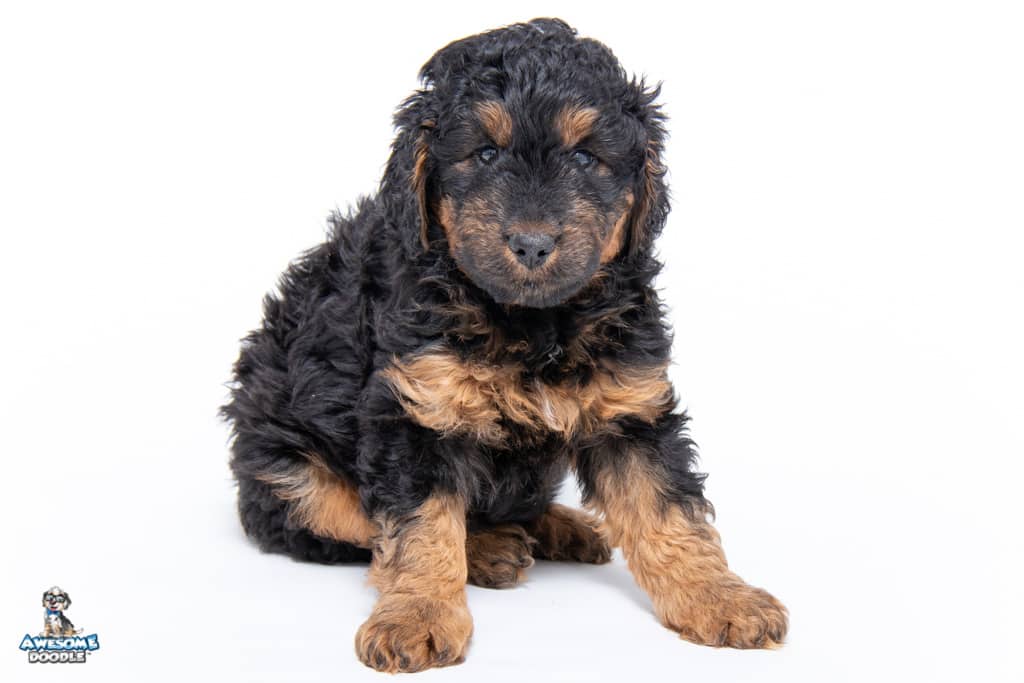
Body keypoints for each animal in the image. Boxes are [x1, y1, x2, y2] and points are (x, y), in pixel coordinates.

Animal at [220, 15, 786, 671]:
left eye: (586, 156)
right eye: (485, 153)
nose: (532, 243)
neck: (531, 323)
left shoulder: (630, 406)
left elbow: (668, 509)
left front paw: (721, 597)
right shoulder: (416, 409)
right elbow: (418, 527)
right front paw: (417, 615)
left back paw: (560, 526)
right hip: (284, 472)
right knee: (348, 518)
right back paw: (490, 548)